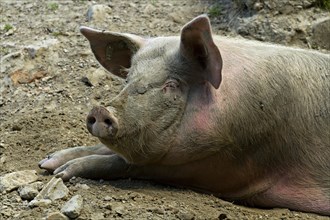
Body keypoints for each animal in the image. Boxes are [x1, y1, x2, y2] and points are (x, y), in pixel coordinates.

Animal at [39, 15, 330, 215]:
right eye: (129, 78)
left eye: (172, 85)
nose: (101, 110)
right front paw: (48, 162)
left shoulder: (229, 163)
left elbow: (128, 162)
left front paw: (62, 172)